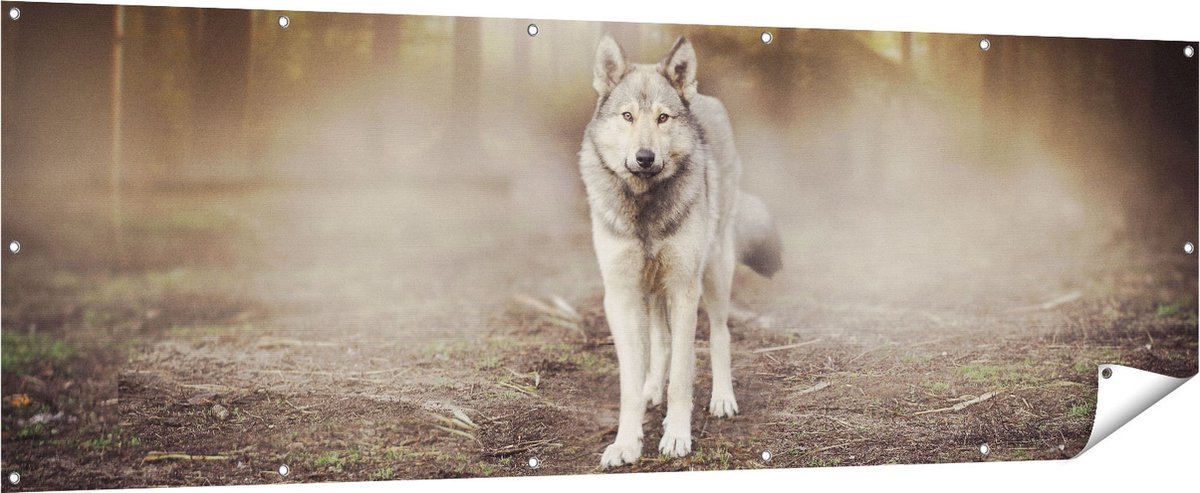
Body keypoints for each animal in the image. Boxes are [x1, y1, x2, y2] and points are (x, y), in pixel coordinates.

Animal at [578, 35, 783, 468]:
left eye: (663, 118)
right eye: (627, 116)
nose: (645, 158)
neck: (645, 208)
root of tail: (703, 95)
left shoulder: (684, 290)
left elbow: (683, 376)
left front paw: (675, 436)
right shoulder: (621, 296)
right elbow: (629, 381)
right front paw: (626, 441)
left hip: (715, 273)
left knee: (720, 335)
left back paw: (722, 398)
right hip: (653, 290)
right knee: (661, 343)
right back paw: (650, 389)